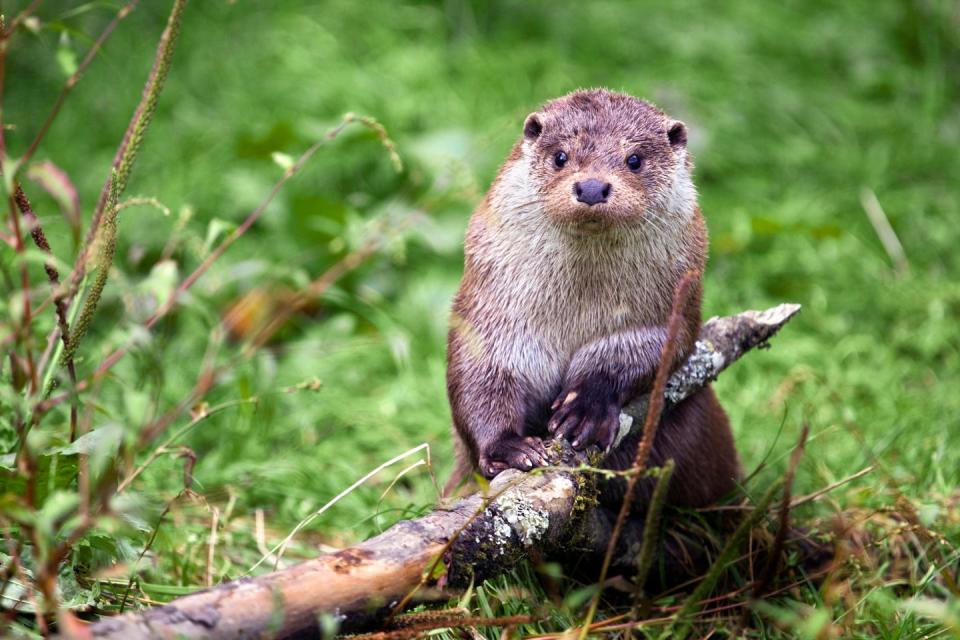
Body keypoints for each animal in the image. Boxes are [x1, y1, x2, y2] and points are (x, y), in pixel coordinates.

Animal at [446, 89, 740, 510]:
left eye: (634, 159)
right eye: (560, 156)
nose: (590, 187)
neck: (576, 311)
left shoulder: (663, 312)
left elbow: (650, 351)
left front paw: (586, 407)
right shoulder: (490, 309)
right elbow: (478, 368)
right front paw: (508, 447)